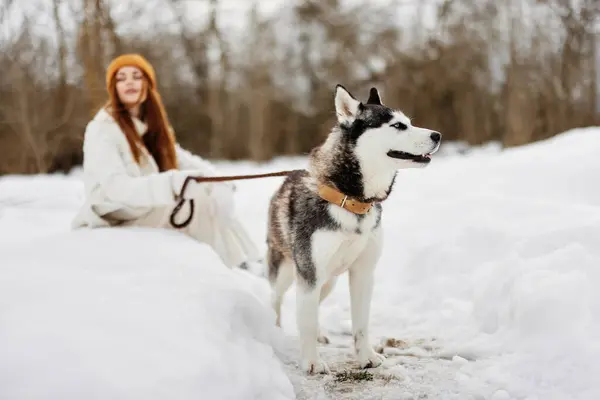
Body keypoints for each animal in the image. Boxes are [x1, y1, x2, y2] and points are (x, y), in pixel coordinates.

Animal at [266, 85, 440, 376]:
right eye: (398, 125)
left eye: (409, 122)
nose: (437, 135)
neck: (349, 200)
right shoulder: (309, 272)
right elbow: (306, 321)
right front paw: (311, 362)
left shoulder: (363, 273)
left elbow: (360, 323)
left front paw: (366, 357)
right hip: (287, 271)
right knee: (276, 301)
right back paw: (276, 330)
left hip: (328, 280)